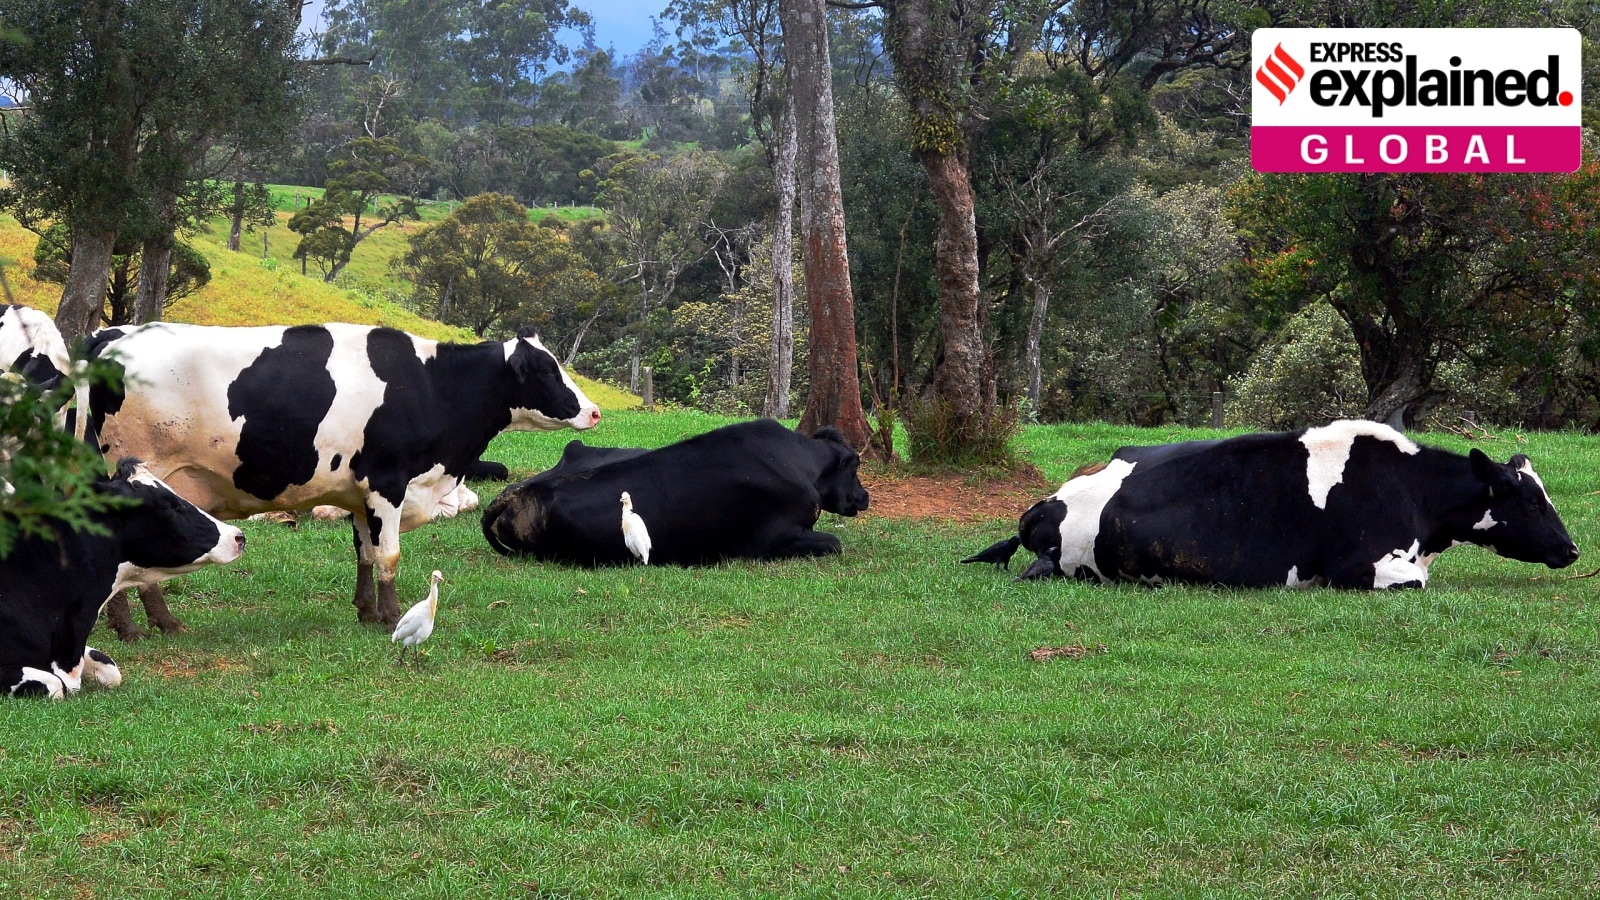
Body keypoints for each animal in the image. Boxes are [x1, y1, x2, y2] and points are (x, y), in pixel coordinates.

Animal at [86, 322, 601, 630]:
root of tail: (113, 335)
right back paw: (132, 627)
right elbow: (389, 555)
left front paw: (366, 609)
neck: (429, 385)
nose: (594, 411)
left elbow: (365, 554)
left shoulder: (359, 493)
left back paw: (159, 622)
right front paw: (391, 615)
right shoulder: (388, 483)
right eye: (545, 369)